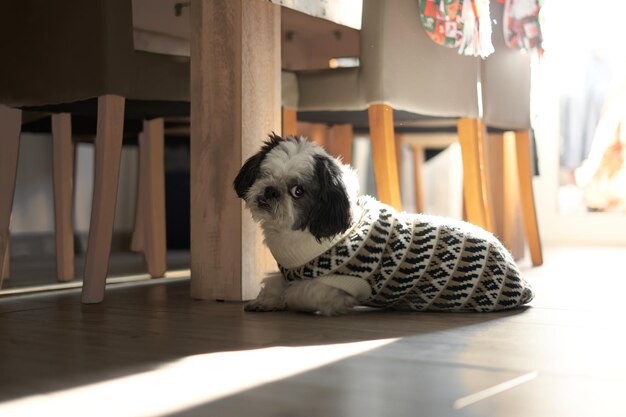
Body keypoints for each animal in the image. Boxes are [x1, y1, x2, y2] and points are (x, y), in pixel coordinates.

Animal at [234, 135, 532, 314]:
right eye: (264, 174)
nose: (270, 191)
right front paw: (264, 300)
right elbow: (275, 282)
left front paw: (284, 299)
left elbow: (298, 292)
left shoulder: (334, 286)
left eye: (298, 191)